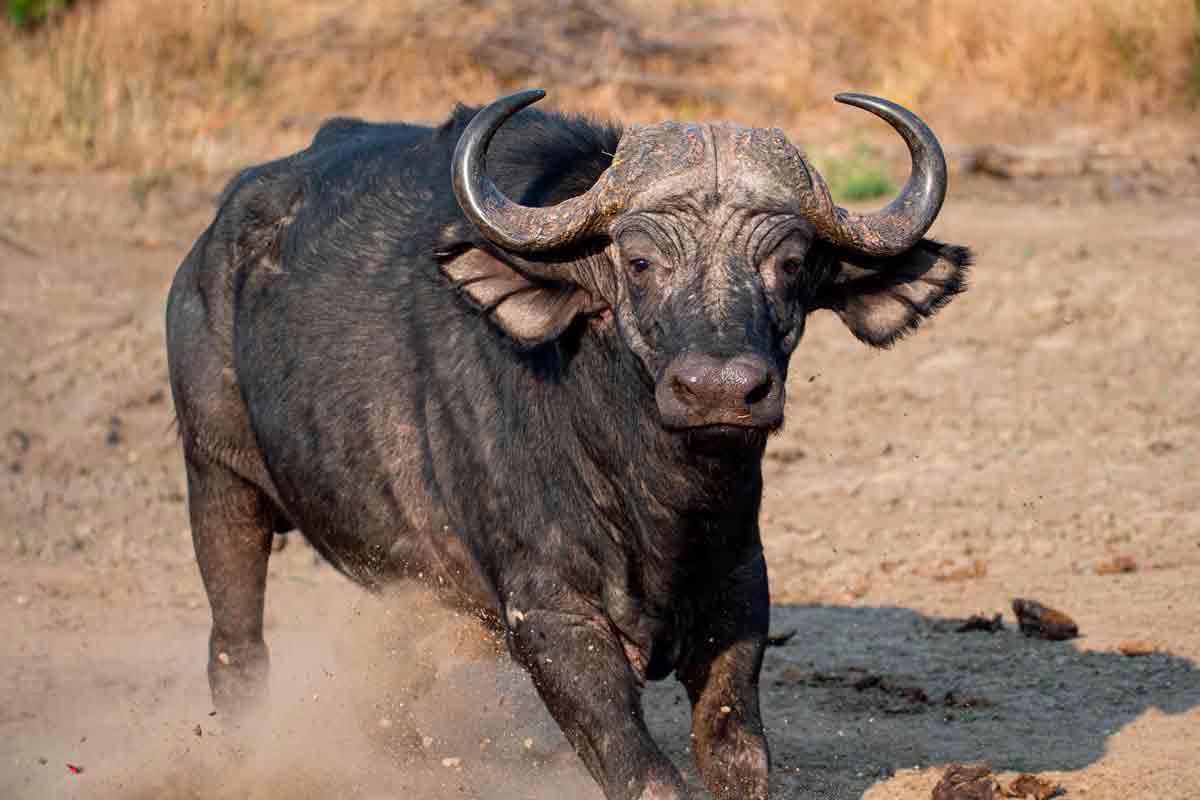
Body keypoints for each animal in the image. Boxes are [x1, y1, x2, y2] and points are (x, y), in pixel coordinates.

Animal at [166, 88, 970, 799]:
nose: (719, 389)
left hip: (409, 584)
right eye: (639, 262)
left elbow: (737, 755)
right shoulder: (553, 620)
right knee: (236, 649)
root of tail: (213, 246)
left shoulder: (739, 591)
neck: (653, 496)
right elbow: (646, 776)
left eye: (791, 263)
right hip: (218, 478)